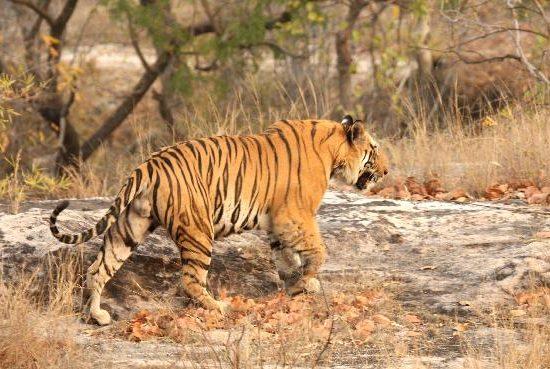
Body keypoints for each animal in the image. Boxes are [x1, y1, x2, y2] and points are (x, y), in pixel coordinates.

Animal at [49, 113, 390, 324]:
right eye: (374, 149)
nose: (387, 171)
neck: (332, 152)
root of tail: (150, 164)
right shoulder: (294, 215)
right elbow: (318, 251)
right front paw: (307, 281)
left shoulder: (277, 224)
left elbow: (286, 259)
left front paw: (297, 286)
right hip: (199, 231)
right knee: (190, 280)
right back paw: (220, 307)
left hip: (130, 226)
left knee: (98, 269)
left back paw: (97, 316)